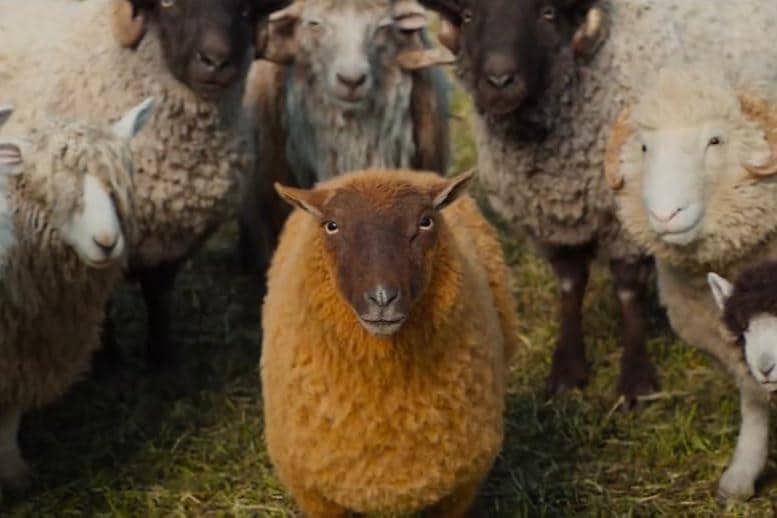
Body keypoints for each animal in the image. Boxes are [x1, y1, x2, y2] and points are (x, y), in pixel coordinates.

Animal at [0, 0, 291, 369]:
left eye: (244, 9)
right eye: (168, 5)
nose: (215, 62)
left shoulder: (175, 238)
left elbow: (158, 294)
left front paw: (161, 355)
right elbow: (104, 301)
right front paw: (105, 359)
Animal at [0, 99, 153, 493]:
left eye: (117, 187)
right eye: (52, 189)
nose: (107, 242)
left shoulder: (25, 353)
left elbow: (9, 418)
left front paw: (14, 473)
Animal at [418, 0, 777, 407]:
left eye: (547, 14)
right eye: (467, 16)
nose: (499, 80)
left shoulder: (626, 218)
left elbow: (627, 291)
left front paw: (636, 381)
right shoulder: (552, 223)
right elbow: (570, 285)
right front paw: (567, 371)